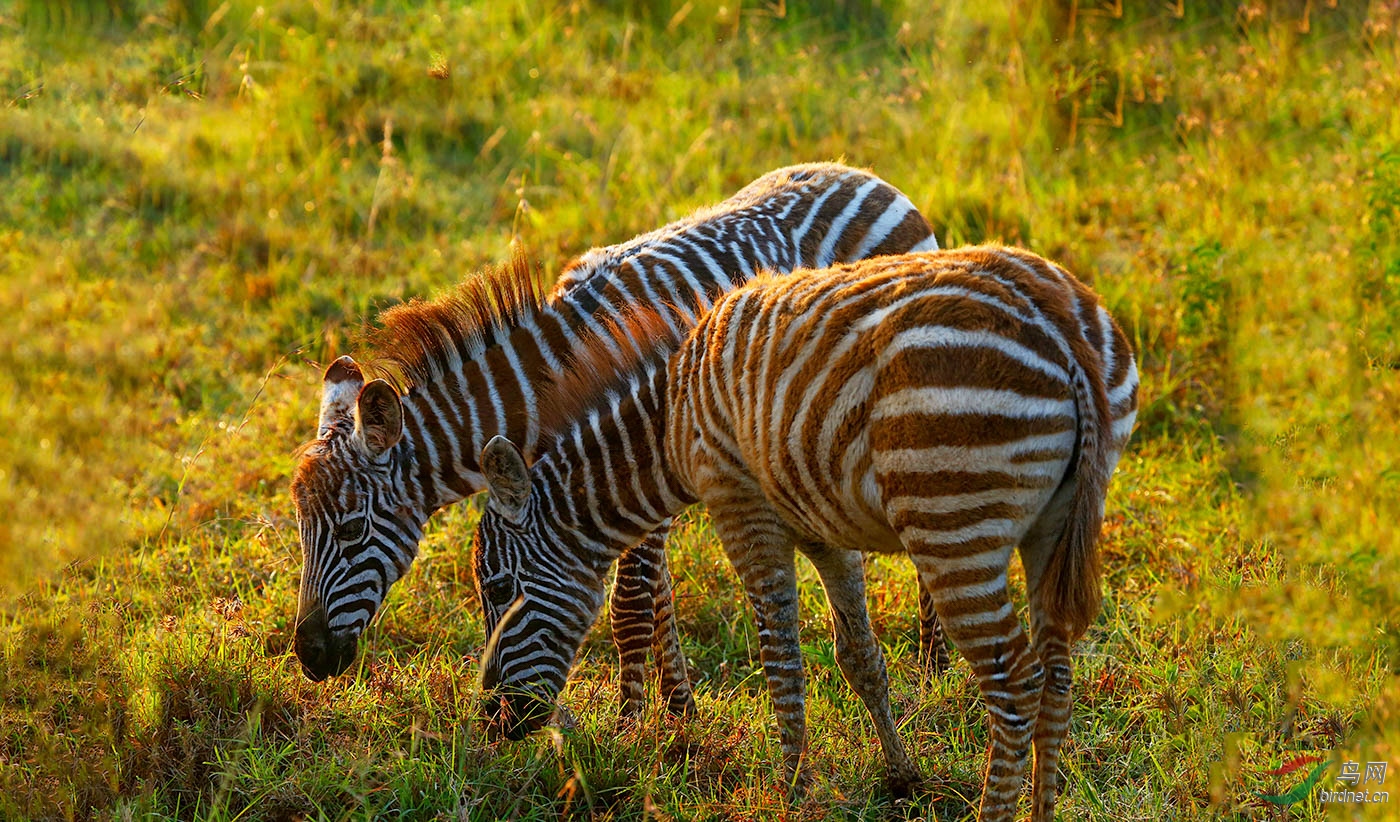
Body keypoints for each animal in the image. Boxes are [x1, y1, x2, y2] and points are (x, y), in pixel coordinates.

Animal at [285, 162, 946, 722]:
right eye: (300, 531)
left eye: (351, 530)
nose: (309, 657)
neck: (552, 390)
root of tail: (867, 176)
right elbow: (658, 599)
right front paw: (678, 709)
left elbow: (632, 603)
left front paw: (634, 724)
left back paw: (935, 668)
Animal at [470, 246, 1136, 822]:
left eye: (499, 589)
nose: (494, 724)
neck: (670, 418)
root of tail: (1058, 325)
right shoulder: (818, 524)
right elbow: (859, 656)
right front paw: (902, 778)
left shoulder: (741, 507)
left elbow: (781, 660)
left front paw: (793, 790)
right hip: (1051, 525)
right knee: (1056, 676)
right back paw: (1040, 812)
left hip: (953, 526)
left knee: (1015, 684)